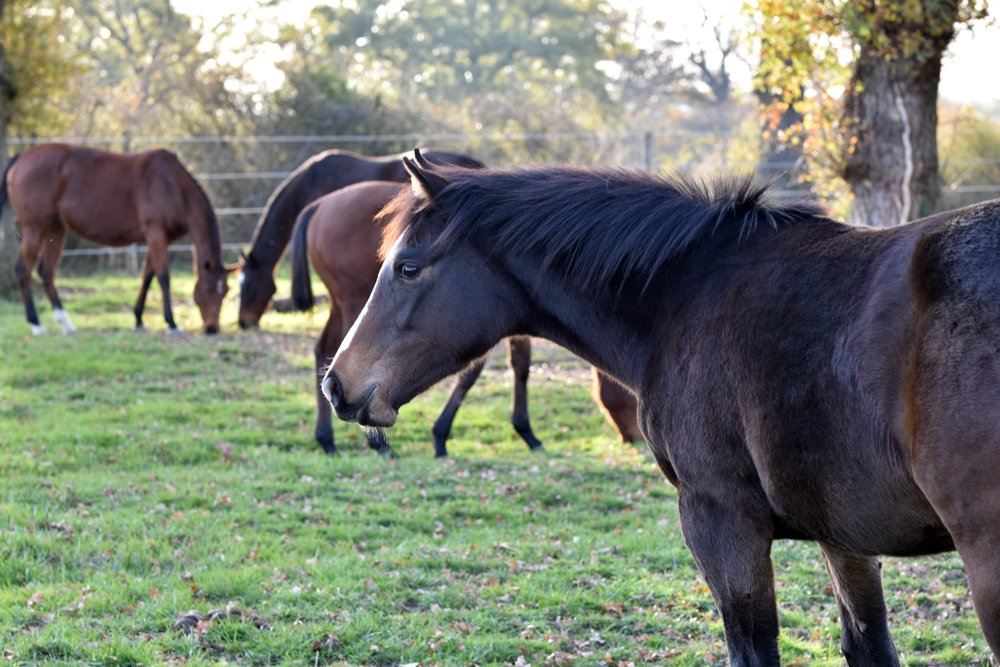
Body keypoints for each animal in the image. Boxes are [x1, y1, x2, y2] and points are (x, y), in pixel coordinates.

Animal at [1, 144, 230, 335]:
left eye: (225, 291)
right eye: (208, 289)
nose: (212, 328)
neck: (172, 185)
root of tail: (22, 157)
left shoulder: (156, 239)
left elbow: (147, 277)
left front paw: (138, 320)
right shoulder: (156, 233)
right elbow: (163, 277)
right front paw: (172, 323)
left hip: (55, 228)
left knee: (46, 272)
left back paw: (66, 323)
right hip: (35, 227)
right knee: (23, 269)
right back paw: (36, 324)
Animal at [288, 180, 640, 456]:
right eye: (409, 268)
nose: (633, 436)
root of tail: (318, 206)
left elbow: (518, 365)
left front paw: (523, 432)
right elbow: (487, 371)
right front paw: (444, 435)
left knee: (322, 350)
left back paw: (327, 438)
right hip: (349, 302)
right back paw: (372, 443)